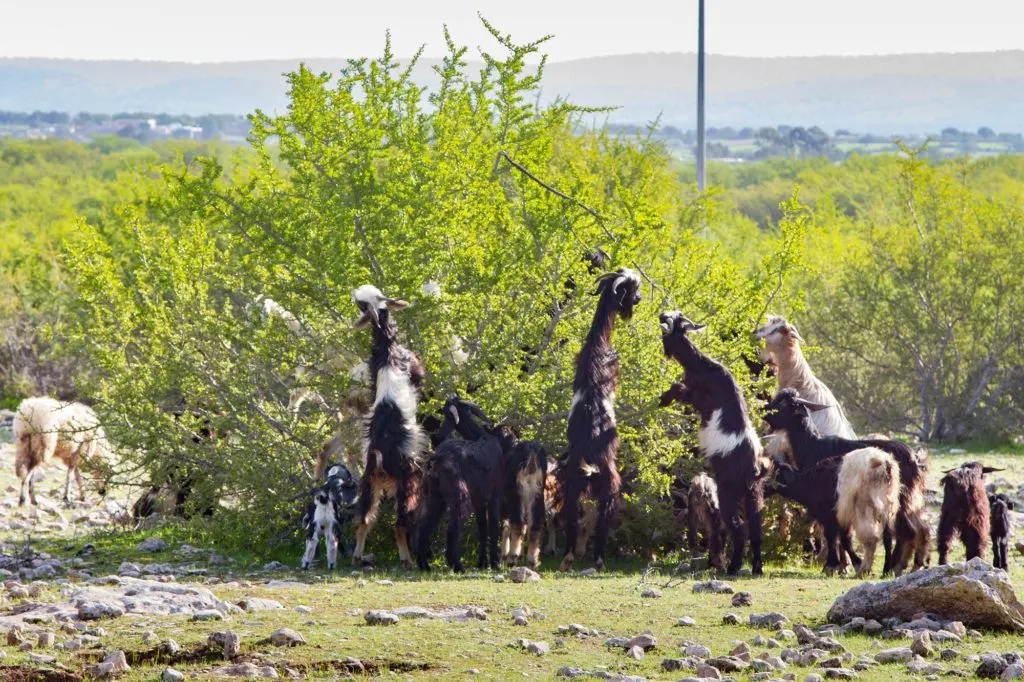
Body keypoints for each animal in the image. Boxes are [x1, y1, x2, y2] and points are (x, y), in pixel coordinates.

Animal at [350, 284, 427, 569]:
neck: (387, 352)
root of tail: (381, 455)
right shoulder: (415, 369)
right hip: (408, 483)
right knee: (399, 524)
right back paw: (407, 560)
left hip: (368, 484)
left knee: (363, 519)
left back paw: (357, 556)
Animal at [416, 397, 510, 572]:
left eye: (448, 415)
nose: (438, 435)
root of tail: (437, 458)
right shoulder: (495, 494)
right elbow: (493, 524)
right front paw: (495, 562)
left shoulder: (479, 499)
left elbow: (482, 527)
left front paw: (482, 562)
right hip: (460, 495)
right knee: (453, 527)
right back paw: (457, 565)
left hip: (436, 497)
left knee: (425, 525)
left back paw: (423, 565)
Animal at [559, 268, 642, 572]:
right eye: (631, 289)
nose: (638, 300)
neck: (598, 343)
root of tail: (592, 464)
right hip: (610, 488)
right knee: (603, 523)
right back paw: (597, 559)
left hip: (572, 485)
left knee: (571, 518)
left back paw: (569, 557)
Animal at [659, 311, 767, 575]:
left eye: (673, 319)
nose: (661, 315)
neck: (703, 367)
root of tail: (755, 468)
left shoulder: (697, 398)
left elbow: (678, 388)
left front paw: (663, 399)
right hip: (754, 493)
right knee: (756, 528)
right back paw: (757, 568)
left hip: (728, 492)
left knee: (738, 528)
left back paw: (733, 567)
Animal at [763, 389, 930, 575]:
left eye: (785, 403)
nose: (764, 411)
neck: (812, 445)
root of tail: (916, 458)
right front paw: (842, 565)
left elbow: (832, 533)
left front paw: (837, 565)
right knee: (915, 528)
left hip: (901, 497)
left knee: (905, 530)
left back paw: (895, 565)